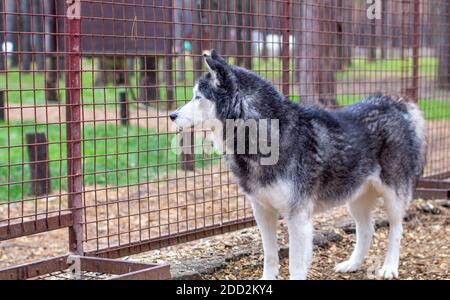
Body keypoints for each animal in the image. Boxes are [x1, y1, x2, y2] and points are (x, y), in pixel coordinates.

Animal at [171, 50, 428, 280]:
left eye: (198, 97)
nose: (172, 115)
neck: (265, 137)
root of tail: (395, 103)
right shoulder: (262, 211)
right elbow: (270, 256)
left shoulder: (298, 217)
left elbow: (295, 265)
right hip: (355, 199)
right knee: (367, 229)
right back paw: (352, 264)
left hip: (393, 197)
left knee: (396, 229)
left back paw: (389, 268)